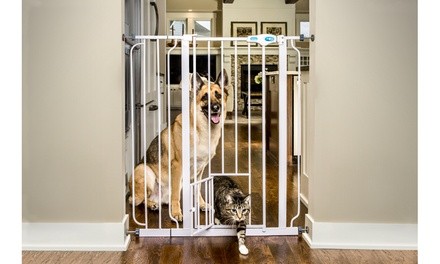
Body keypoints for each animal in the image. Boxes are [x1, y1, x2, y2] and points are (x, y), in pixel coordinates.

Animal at [129, 69, 229, 221]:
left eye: (218, 95)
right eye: (205, 97)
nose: (215, 108)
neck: (201, 130)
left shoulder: (200, 169)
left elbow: (197, 189)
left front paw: (201, 204)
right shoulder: (178, 166)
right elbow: (176, 194)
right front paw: (176, 213)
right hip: (145, 171)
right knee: (136, 200)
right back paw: (152, 205)